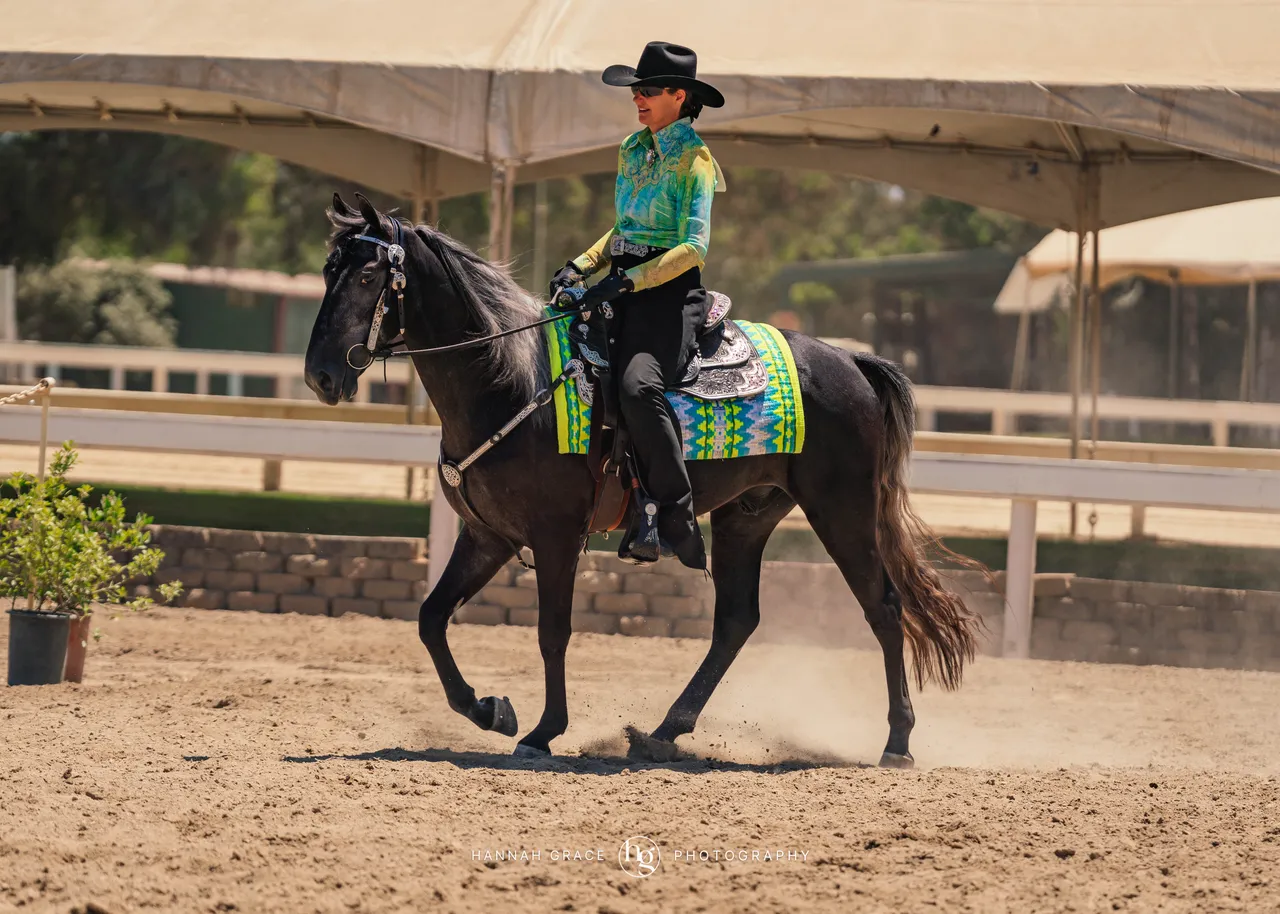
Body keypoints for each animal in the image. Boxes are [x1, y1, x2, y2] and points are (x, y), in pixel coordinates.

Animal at [304, 193, 982, 768]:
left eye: (367, 276)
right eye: (329, 270)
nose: (319, 375)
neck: (512, 382)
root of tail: (850, 361)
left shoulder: (555, 537)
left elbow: (552, 632)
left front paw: (543, 732)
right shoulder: (487, 536)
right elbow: (430, 617)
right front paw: (491, 710)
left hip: (842, 509)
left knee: (883, 607)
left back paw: (897, 742)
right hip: (748, 516)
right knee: (737, 620)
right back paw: (662, 732)